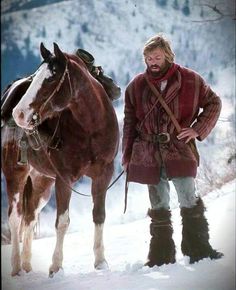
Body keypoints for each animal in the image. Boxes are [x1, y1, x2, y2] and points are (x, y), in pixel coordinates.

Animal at [1, 41, 120, 276]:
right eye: (35, 76)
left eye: (50, 78)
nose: (19, 114)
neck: (90, 127)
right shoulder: (65, 179)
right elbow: (62, 221)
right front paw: (56, 266)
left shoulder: (104, 174)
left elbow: (99, 215)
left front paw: (100, 262)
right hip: (15, 174)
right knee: (15, 218)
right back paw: (17, 267)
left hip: (42, 182)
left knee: (30, 217)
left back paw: (27, 265)